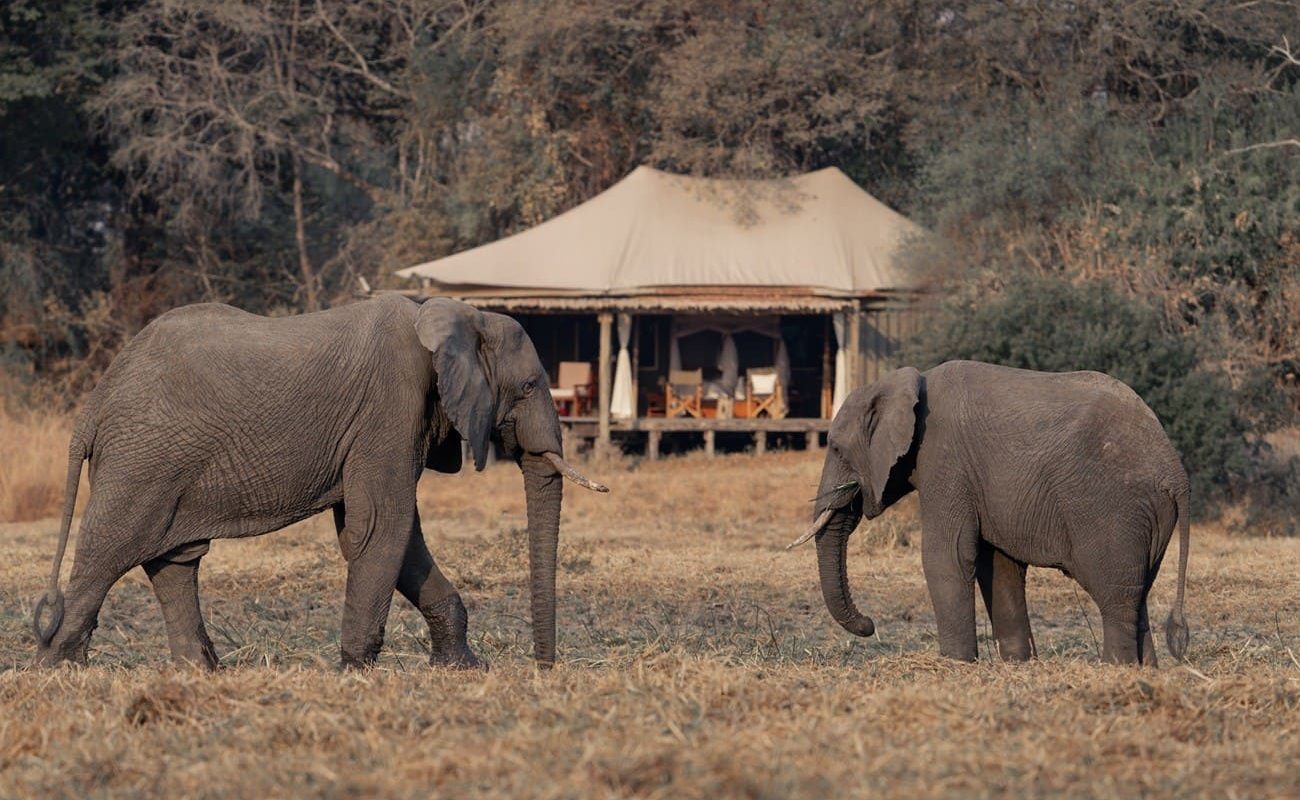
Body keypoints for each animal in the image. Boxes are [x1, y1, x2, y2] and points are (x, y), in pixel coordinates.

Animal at [32, 294, 607, 670]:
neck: (456, 315)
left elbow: (394, 536)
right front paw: (355, 671)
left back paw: (201, 673)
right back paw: (60, 670)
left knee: (175, 562)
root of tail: (96, 401)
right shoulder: (389, 408)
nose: (544, 668)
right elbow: (382, 526)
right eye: (529, 385)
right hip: (142, 460)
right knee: (107, 555)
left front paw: (464, 668)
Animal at [790, 360, 1190, 665]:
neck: (909, 382)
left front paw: (956, 664)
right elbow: (998, 565)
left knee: (1115, 595)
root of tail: (1175, 471)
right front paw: (1018, 663)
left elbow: (947, 555)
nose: (868, 624)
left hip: (1112, 509)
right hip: (1147, 516)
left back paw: (1116, 668)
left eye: (836, 448)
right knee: (1138, 594)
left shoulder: (945, 459)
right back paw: (1145, 669)